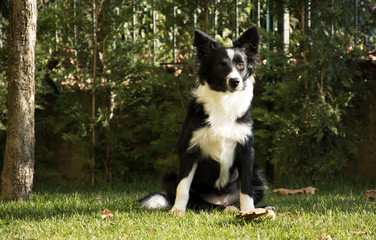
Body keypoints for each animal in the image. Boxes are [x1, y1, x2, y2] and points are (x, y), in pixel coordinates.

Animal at [140, 27, 266, 213]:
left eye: (241, 65)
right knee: (200, 202)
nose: (235, 81)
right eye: (221, 65)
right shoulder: (189, 149)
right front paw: (177, 211)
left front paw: (249, 212)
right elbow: (183, 187)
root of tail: (221, 202)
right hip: (170, 178)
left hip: (257, 173)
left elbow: (246, 189)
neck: (224, 101)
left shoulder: (246, 151)